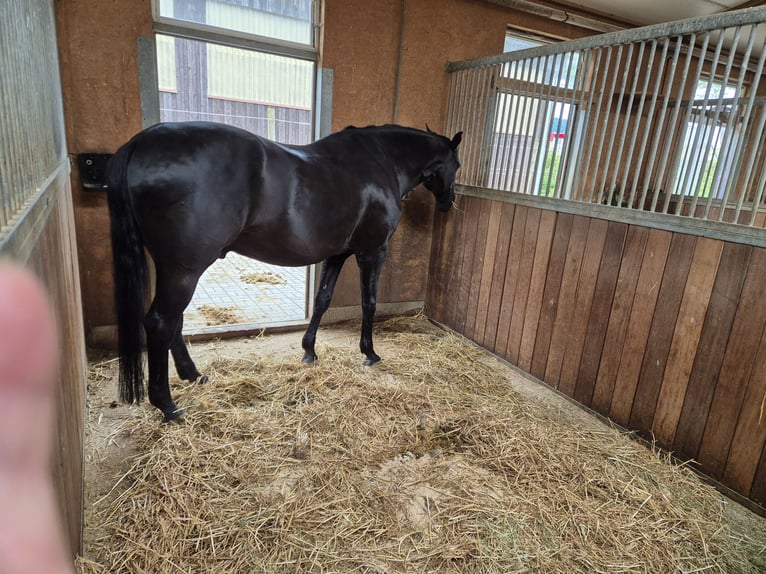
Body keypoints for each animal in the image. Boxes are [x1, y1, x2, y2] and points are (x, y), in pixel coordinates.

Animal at [105, 121, 464, 424]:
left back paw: (193, 375)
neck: (381, 161)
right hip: (185, 270)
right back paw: (168, 405)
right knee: (161, 323)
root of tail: (141, 142)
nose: (448, 202)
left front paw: (309, 351)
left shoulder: (337, 254)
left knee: (174, 322)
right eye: (457, 165)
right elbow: (369, 303)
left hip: (173, 269)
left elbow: (322, 300)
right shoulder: (372, 252)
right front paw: (370, 353)